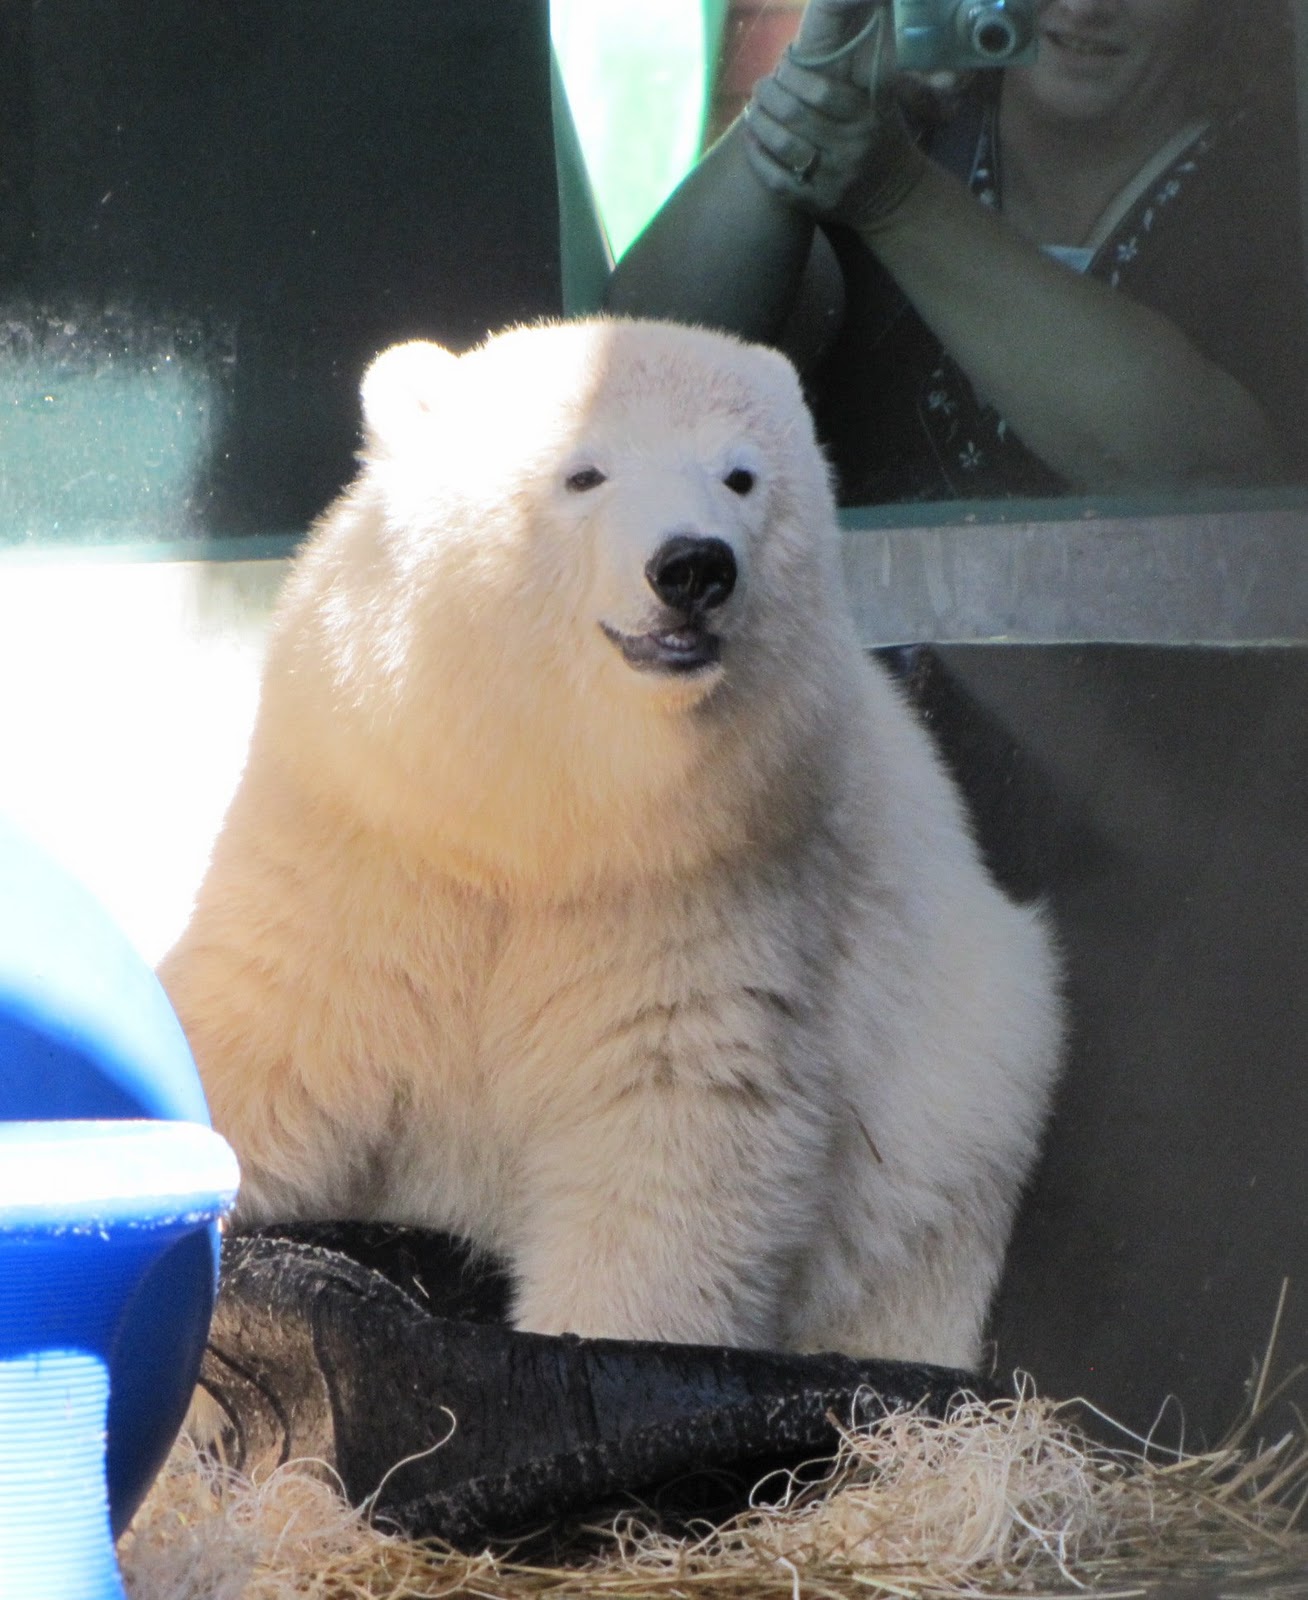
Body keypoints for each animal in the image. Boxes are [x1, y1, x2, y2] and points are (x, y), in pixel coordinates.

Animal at [159, 316, 1063, 1370]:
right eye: (583, 472)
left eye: (741, 476)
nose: (694, 567)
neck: (546, 811)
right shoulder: (369, 830)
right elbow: (267, 1032)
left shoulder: (710, 882)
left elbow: (671, 1126)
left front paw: (599, 1340)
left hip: (966, 1101)